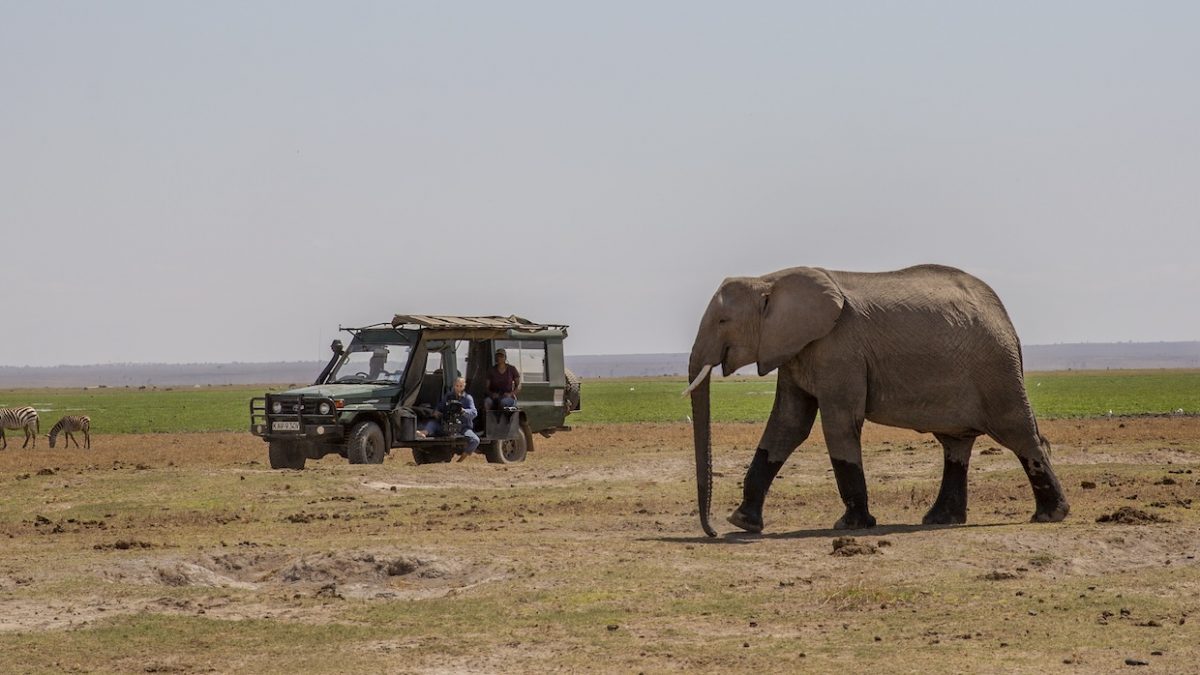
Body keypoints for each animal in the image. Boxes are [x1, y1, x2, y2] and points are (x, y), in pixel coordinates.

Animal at [686, 263, 1070, 535]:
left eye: (722, 321)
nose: (712, 531)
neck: (769, 280)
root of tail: (1006, 319)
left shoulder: (839, 350)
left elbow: (839, 423)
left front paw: (851, 526)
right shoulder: (797, 350)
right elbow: (787, 426)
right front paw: (742, 522)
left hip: (996, 369)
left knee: (1019, 434)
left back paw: (1050, 516)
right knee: (956, 443)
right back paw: (940, 520)